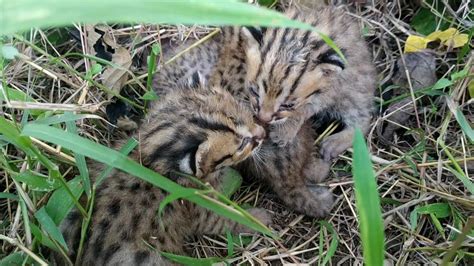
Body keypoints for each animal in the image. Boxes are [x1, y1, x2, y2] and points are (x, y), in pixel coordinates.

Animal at [59, 81, 272, 266]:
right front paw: (258, 219)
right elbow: (225, 219)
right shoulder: (199, 206)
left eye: (247, 115)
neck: (151, 158)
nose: (263, 134)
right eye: (242, 144)